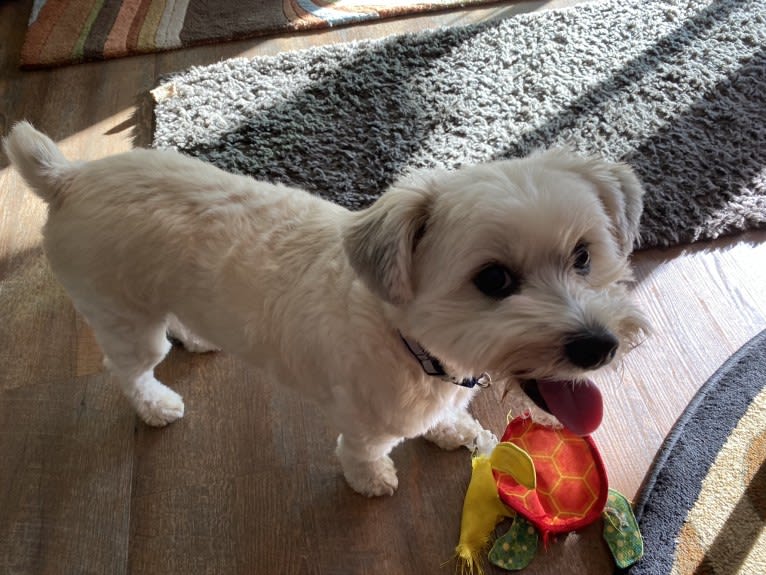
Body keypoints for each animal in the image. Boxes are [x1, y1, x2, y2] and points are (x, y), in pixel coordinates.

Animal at [4, 124, 648, 498]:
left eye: (584, 256)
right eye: (493, 280)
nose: (598, 346)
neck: (410, 342)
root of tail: (68, 177)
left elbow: (445, 419)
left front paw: (452, 428)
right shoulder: (365, 422)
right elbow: (362, 454)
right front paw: (372, 480)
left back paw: (196, 333)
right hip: (123, 317)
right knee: (129, 368)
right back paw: (155, 403)